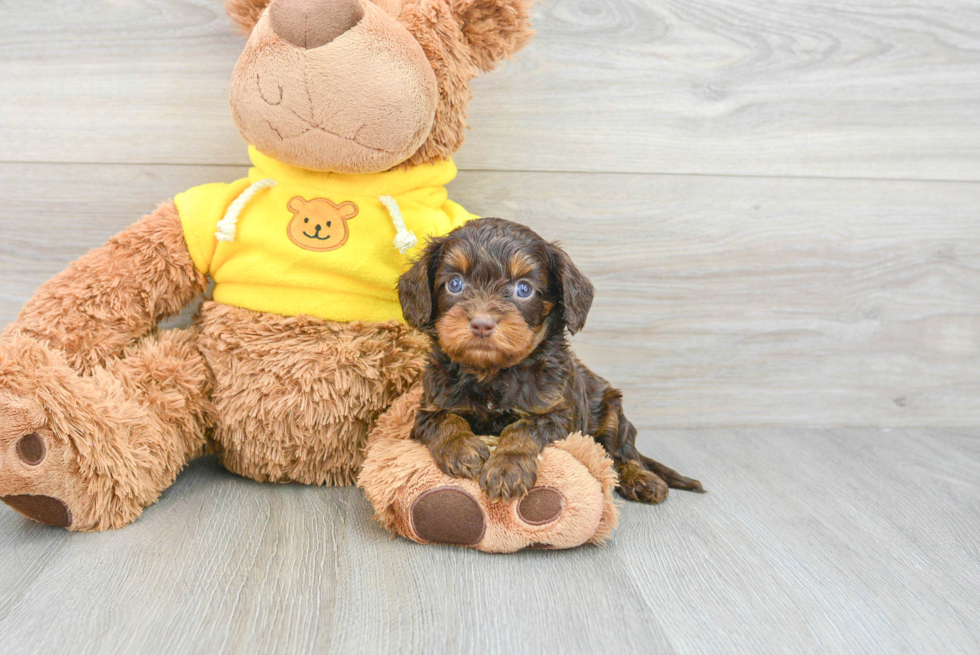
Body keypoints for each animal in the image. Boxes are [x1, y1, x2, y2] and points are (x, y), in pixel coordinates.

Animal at [398, 219, 704, 502]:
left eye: (524, 289)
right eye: (455, 284)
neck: (493, 373)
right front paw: (462, 449)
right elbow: (445, 420)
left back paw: (641, 478)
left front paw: (507, 468)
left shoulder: (557, 413)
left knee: (622, 452)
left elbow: (524, 428)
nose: (482, 324)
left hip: (611, 410)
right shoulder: (429, 406)